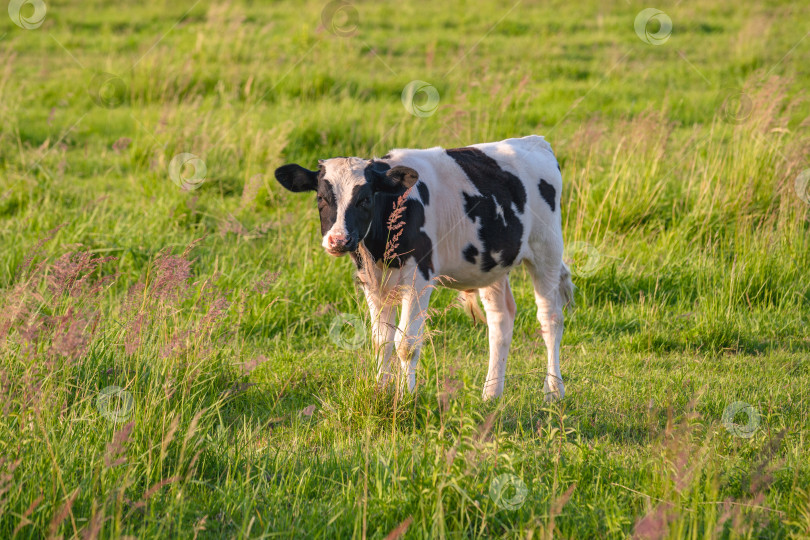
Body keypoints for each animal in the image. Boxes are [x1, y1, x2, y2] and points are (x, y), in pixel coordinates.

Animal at [274, 135, 572, 400]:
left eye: (365, 199)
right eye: (321, 199)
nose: (338, 240)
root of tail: (535, 141)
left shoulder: (419, 279)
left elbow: (406, 344)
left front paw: (406, 397)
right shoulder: (373, 283)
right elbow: (381, 342)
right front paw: (380, 392)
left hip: (547, 250)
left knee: (550, 318)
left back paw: (553, 391)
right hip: (492, 264)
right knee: (501, 319)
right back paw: (491, 394)